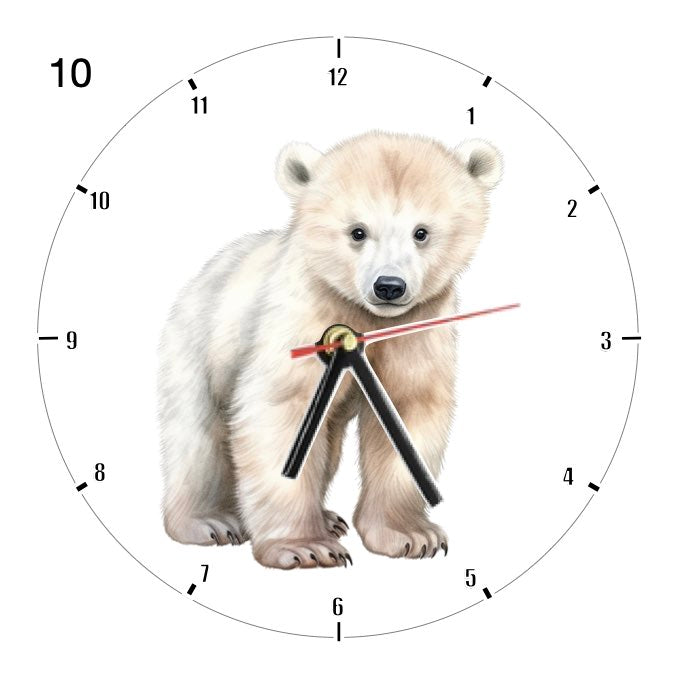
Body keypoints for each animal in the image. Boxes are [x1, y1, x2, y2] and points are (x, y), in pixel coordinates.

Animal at [158, 130, 502, 569]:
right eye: (357, 231)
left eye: (421, 232)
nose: (389, 286)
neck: (367, 319)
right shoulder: (304, 314)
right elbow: (283, 413)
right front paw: (304, 547)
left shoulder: (417, 328)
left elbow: (406, 412)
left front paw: (410, 535)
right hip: (199, 342)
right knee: (197, 437)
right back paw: (209, 521)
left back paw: (327, 517)